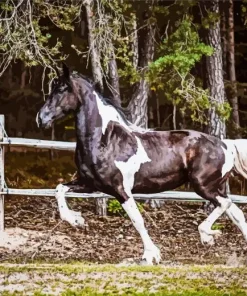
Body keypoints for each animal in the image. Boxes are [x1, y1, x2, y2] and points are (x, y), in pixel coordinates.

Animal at [35, 63, 247, 266]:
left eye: (62, 89)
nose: (40, 118)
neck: (104, 141)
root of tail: (226, 144)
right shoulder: (89, 185)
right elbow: (59, 189)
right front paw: (76, 219)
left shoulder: (121, 190)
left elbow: (137, 221)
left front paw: (151, 255)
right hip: (214, 187)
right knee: (236, 212)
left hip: (203, 186)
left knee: (226, 204)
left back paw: (206, 236)